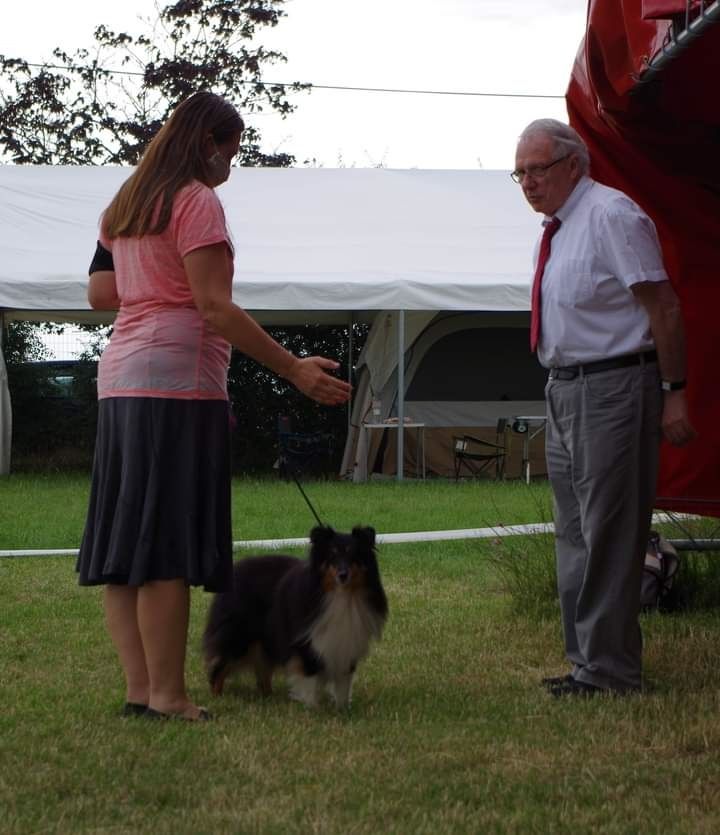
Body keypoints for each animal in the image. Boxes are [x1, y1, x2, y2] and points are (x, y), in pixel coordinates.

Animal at [202, 524, 388, 708]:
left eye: (353, 555)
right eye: (332, 555)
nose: (343, 575)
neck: (340, 594)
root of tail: (234, 572)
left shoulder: (347, 644)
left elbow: (343, 684)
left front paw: (342, 709)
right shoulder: (306, 642)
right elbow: (310, 678)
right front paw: (312, 709)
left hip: (266, 639)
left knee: (262, 671)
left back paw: (269, 697)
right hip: (239, 636)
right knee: (220, 666)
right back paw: (216, 697)